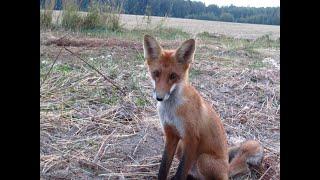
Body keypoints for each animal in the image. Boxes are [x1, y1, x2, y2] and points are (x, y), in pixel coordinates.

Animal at [144, 34, 264, 179]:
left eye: (173, 76)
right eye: (156, 73)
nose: (159, 97)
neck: (172, 110)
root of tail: (226, 169)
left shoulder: (192, 139)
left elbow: (180, 173)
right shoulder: (171, 135)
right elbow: (163, 167)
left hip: (203, 159)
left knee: (238, 169)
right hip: (181, 147)